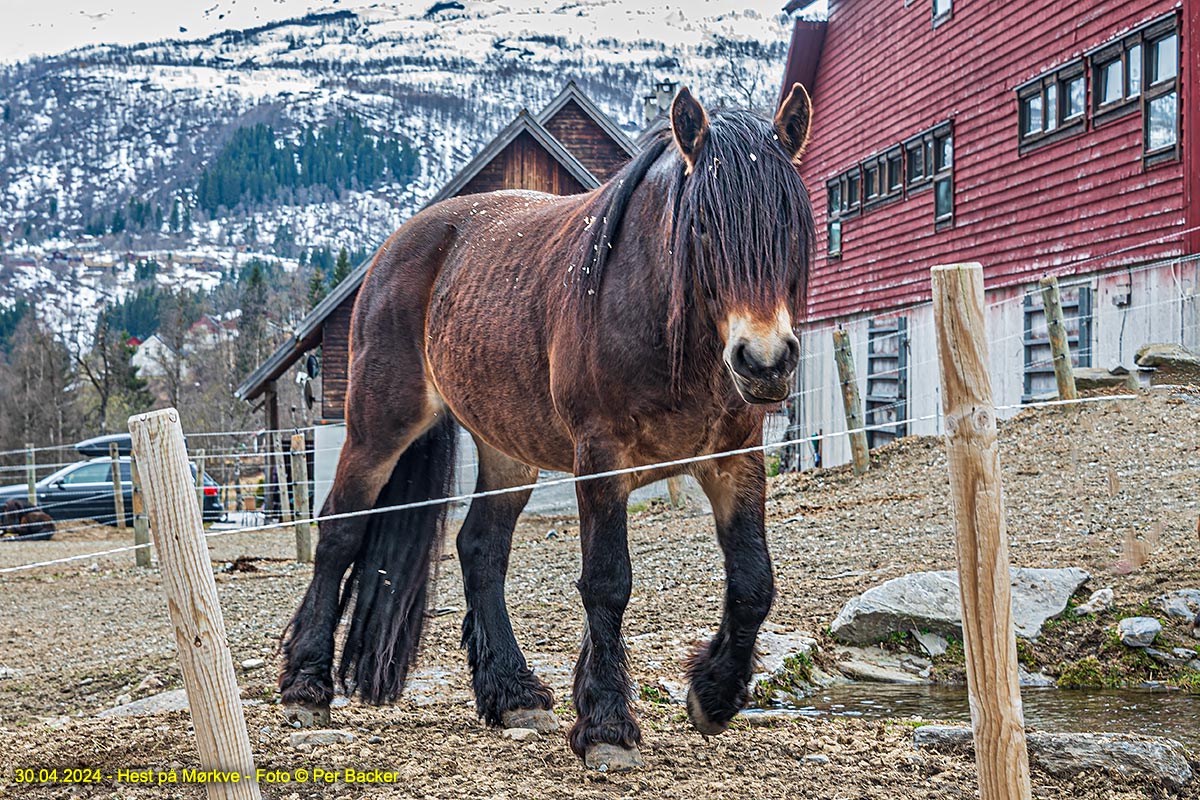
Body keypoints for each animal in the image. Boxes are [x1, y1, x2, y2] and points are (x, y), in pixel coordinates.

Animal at [280, 86, 816, 767]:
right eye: (700, 227)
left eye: (791, 224)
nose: (764, 361)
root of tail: (397, 246)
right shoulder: (601, 458)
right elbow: (608, 582)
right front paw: (608, 725)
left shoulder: (735, 457)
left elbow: (753, 582)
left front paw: (713, 694)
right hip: (379, 427)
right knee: (340, 532)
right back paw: (305, 687)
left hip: (507, 450)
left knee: (480, 549)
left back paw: (513, 693)